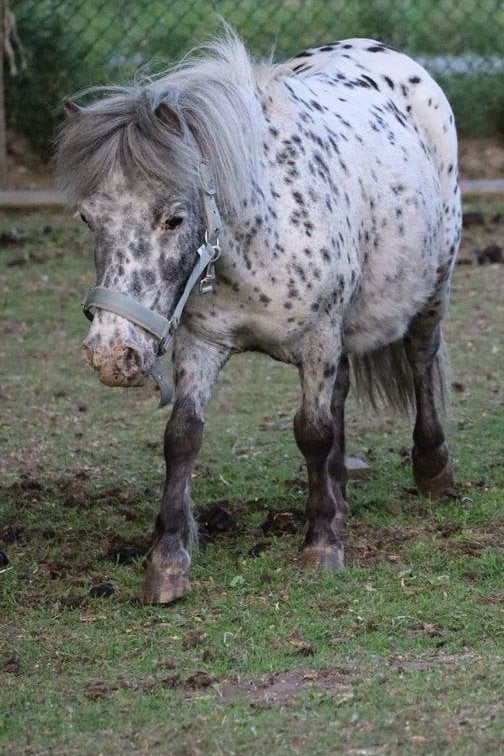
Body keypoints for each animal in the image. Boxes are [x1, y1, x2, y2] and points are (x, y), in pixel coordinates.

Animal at [56, 32, 461, 604]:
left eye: (174, 218)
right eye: (88, 218)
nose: (111, 355)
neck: (257, 229)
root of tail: (381, 49)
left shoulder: (318, 338)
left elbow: (312, 431)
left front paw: (321, 544)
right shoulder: (203, 342)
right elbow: (183, 436)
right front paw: (168, 560)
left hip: (433, 283)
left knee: (421, 356)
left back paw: (430, 467)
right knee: (341, 391)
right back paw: (339, 495)